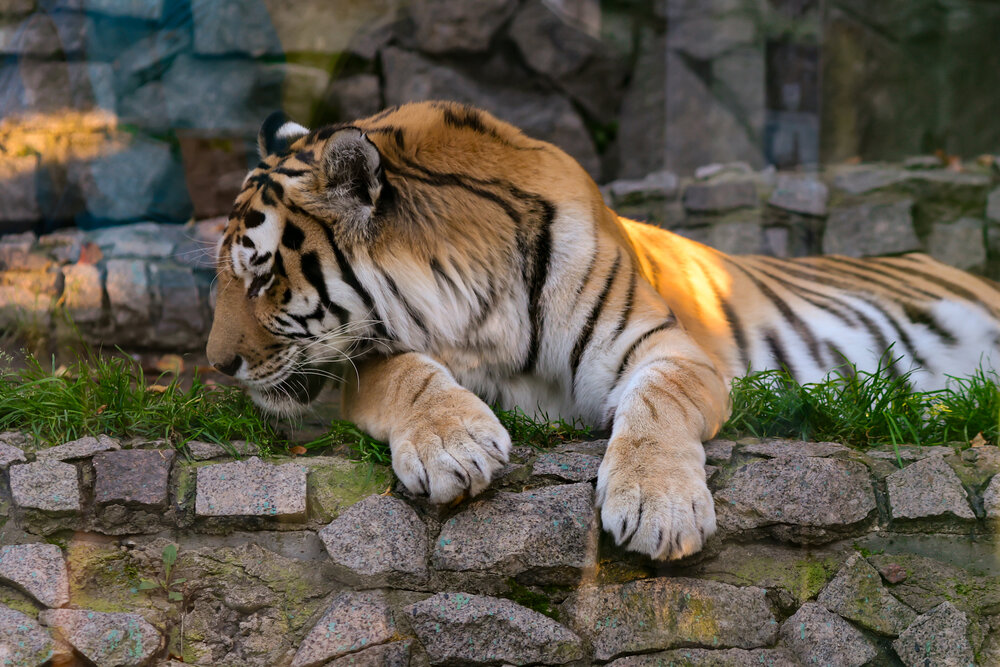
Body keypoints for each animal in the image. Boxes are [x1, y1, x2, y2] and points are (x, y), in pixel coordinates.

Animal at [206, 101, 1000, 561]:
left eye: (261, 277)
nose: (216, 365)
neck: (476, 314)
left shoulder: (670, 349)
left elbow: (656, 406)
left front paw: (657, 507)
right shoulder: (372, 361)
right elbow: (408, 375)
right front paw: (454, 447)